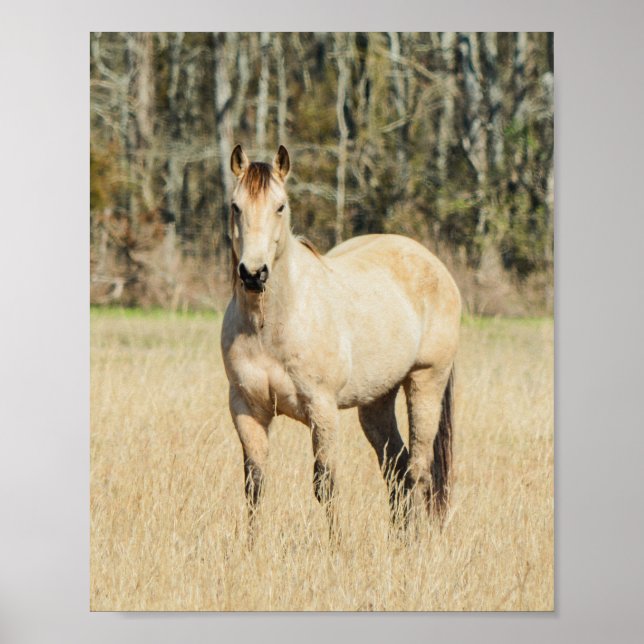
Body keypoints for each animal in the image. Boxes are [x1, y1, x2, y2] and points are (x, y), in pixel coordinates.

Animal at [220, 144, 461, 536]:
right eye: (235, 206)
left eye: (280, 206)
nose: (254, 274)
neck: (268, 327)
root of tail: (432, 262)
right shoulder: (246, 408)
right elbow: (254, 486)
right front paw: (250, 547)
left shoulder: (323, 409)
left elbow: (326, 485)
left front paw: (335, 546)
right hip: (377, 400)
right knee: (396, 467)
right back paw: (399, 540)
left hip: (426, 381)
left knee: (419, 470)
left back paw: (416, 541)